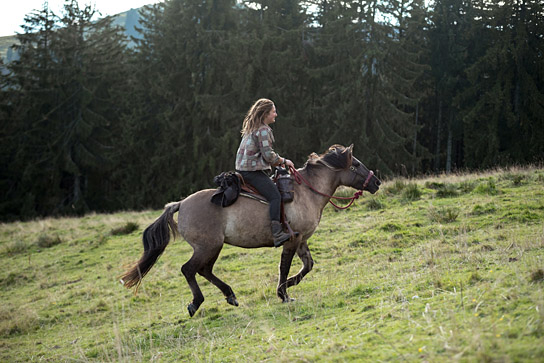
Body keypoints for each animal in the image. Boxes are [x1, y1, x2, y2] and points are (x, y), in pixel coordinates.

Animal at [121, 144, 380, 318]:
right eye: (356, 165)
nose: (376, 182)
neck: (307, 192)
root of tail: (181, 203)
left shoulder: (302, 240)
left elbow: (307, 266)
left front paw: (287, 288)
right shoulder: (291, 240)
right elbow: (285, 267)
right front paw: (283, 293)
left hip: (213, 247)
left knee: (204, 270)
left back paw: (230, 295)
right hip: (207, 246)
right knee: (189, 269)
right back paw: (196, 302)